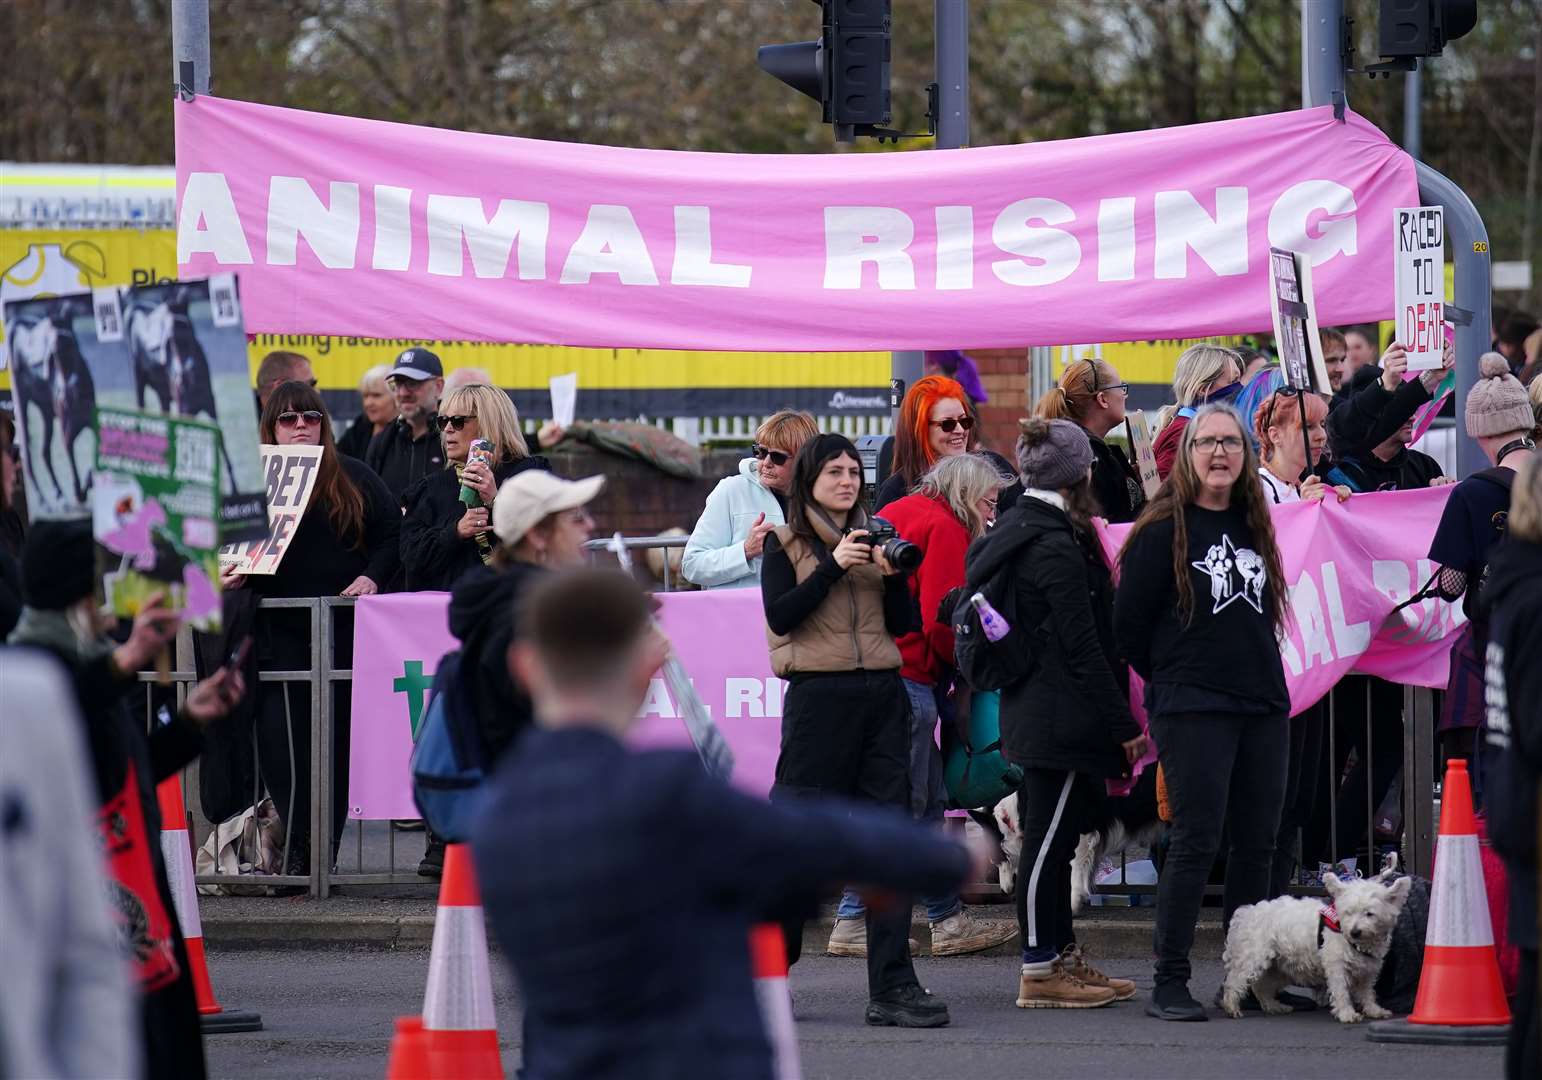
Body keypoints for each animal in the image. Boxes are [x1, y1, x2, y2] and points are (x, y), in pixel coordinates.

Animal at [1221, 870, 1412, 1018]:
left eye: (1369, 913)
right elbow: (1341, 991)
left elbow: (1366, 992)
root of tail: (1248, 912)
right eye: (1348, 912)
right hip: (1253, 958)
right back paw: (1231, 1006)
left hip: (1278, 966)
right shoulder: (1336, 965)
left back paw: (1275, 1006)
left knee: (1261, 987)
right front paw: (1346, 1013)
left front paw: (1373, 1010)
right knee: (1235, 981)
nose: (1354, 932)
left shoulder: (1367, 969)